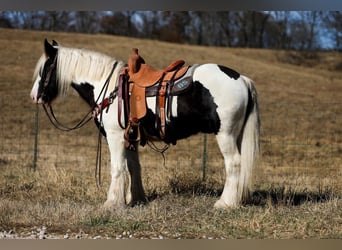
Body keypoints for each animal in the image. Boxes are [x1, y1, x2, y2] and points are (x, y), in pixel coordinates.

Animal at [30, 39, 260, 209]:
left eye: (45, 69)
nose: (34, 96)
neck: (108, 86)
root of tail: (242, 78)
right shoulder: (129, 137)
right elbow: (133, 167)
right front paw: (136, 199)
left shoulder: (115, 135)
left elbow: (117, 167)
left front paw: (112, 203)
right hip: (236, 134)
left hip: (225, 134)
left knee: (234, 163)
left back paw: (225, 203)